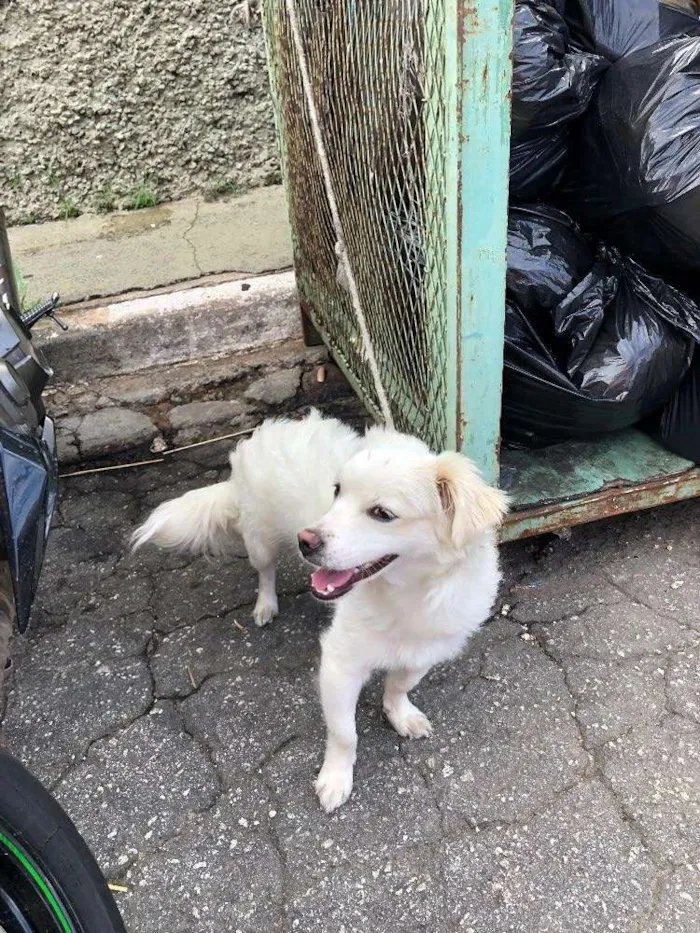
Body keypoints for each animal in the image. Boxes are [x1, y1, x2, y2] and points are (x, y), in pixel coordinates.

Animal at [131, 408, 506, 808]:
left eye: (382, 513)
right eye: (337, 491)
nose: (305, 541)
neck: (409, 596)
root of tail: (269, 429)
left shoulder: (424, 653)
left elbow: (399, 686)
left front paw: (400, 715)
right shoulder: (339, 668)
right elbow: (345, 734)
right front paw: (336, 778)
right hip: (260, 540)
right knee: (265, 572)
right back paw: (266, 605)